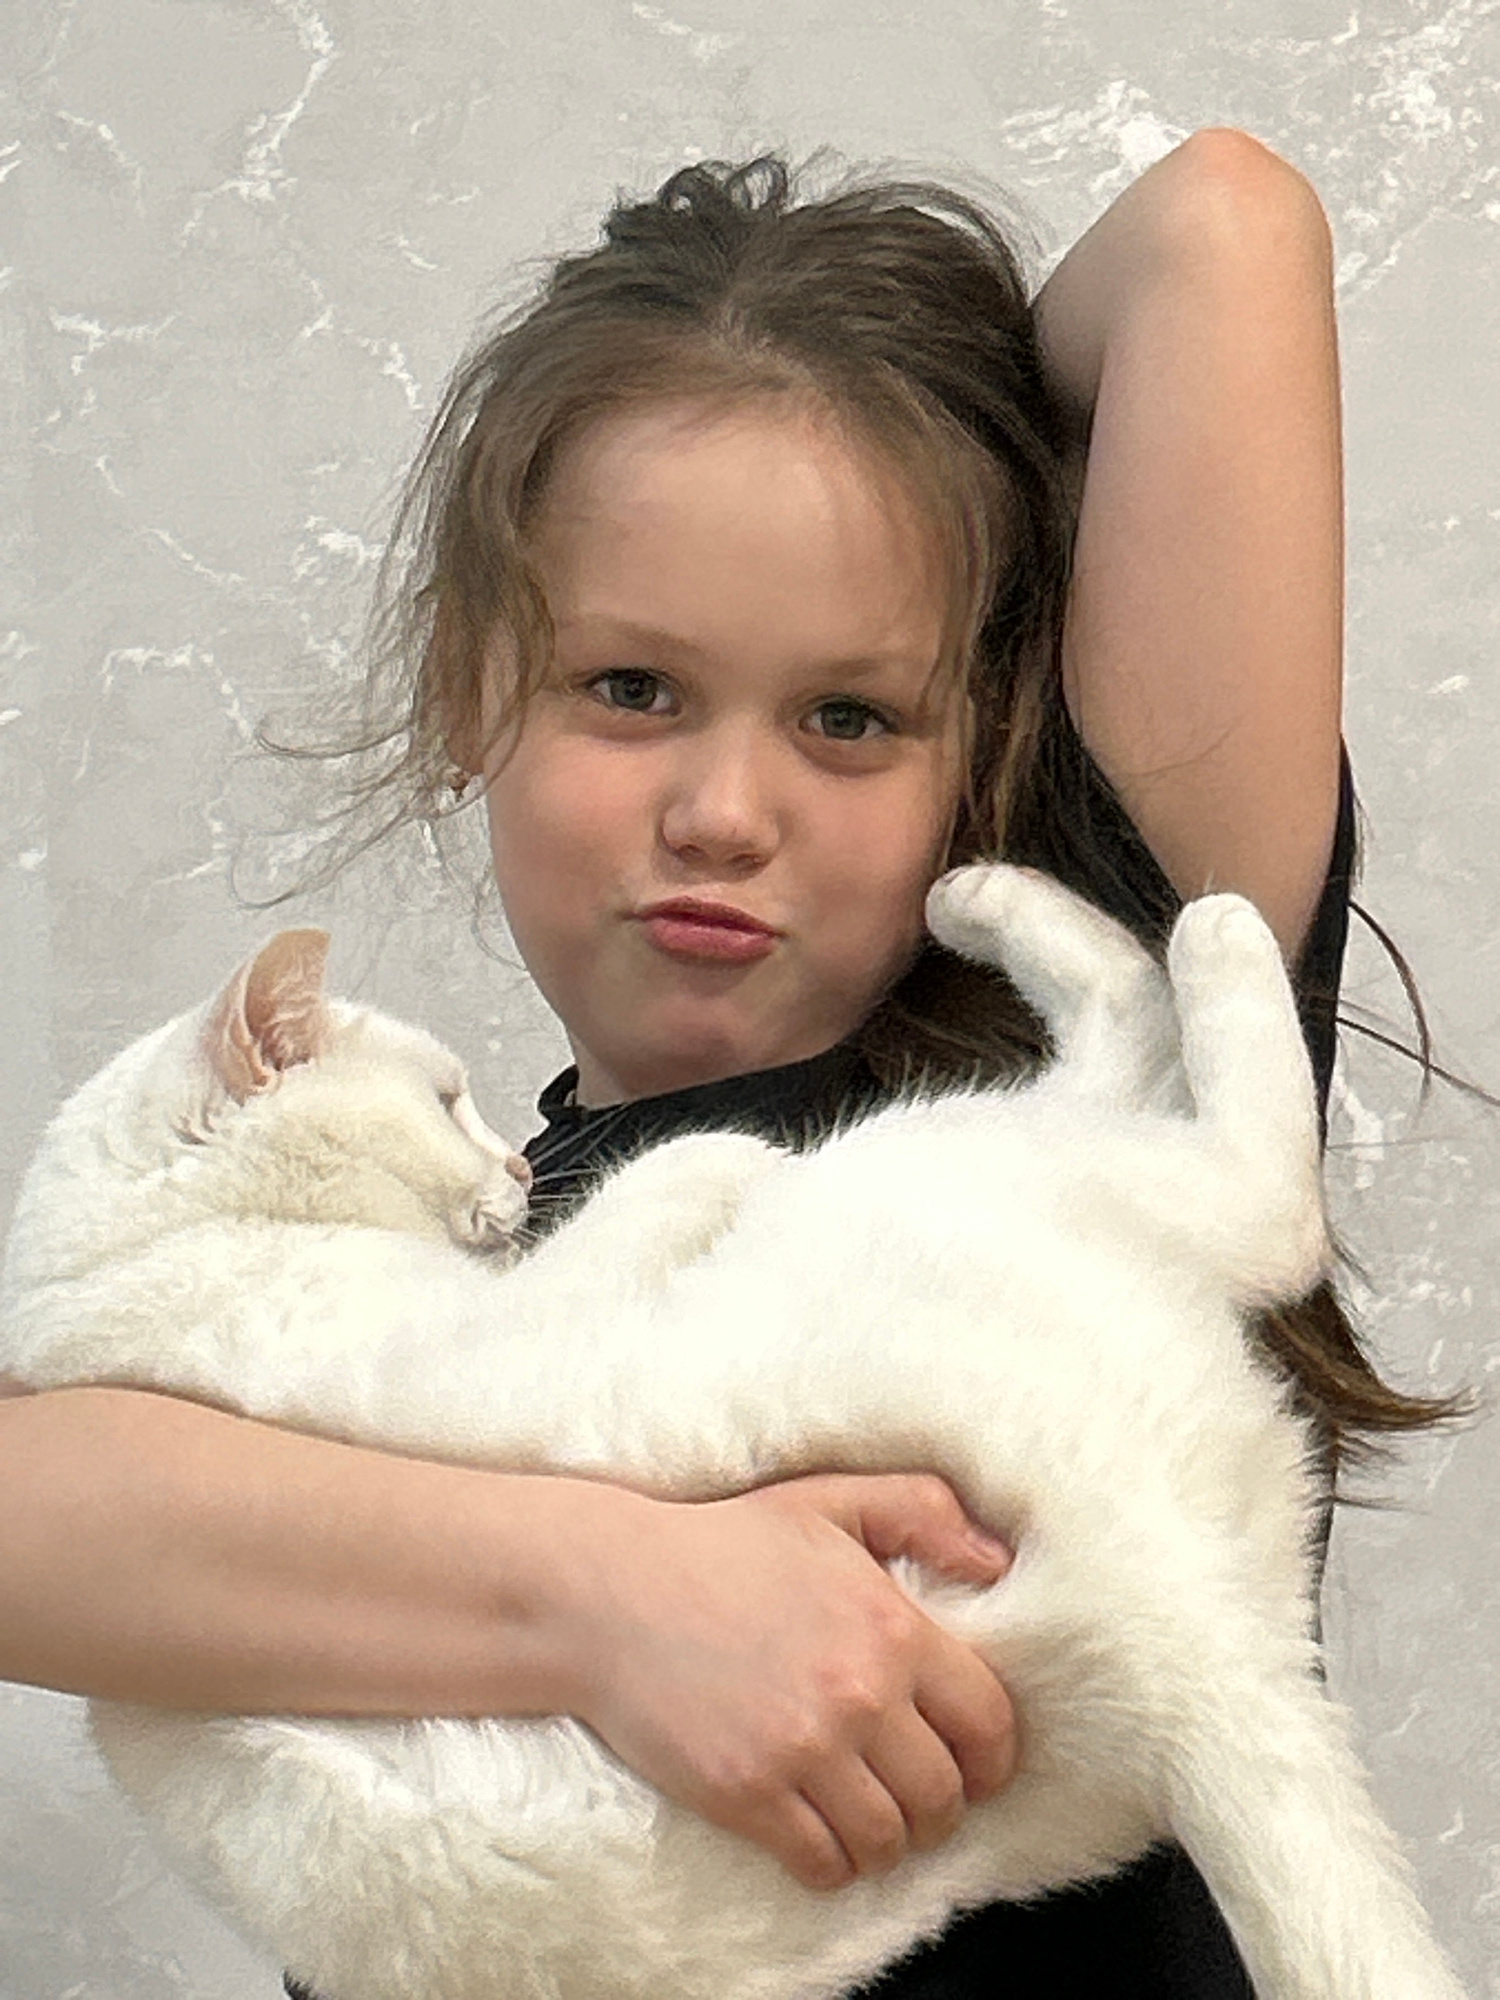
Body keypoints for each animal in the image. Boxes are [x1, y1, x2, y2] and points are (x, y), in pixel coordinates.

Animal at [0, 862, 1466, 2000]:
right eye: (447, 1102)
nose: (522, 1163)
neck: (114, 1273)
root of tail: (1176, 1647)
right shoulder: (488, 1330)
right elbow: (673, 1169)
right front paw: (713, 1154)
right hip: (965, 1162)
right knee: (1249, 1178)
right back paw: (1135, 916)